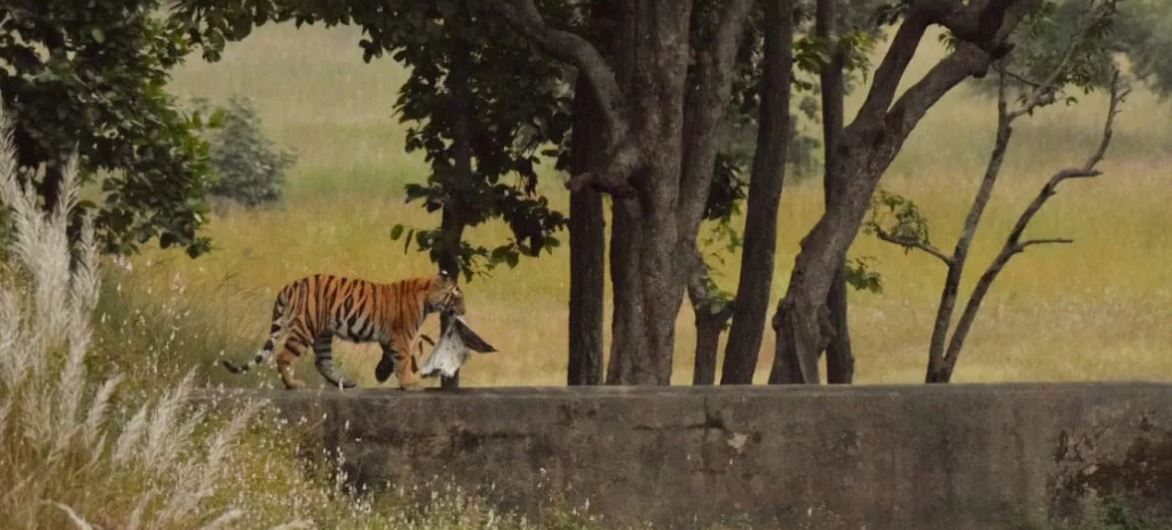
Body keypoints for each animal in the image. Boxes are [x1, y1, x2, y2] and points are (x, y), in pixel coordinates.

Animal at [220, 269, 461, 389]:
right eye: (457, 298)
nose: (464, 310)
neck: (426, 297)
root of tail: (291, 285)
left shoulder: (390, 337)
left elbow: (390, 357)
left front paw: (382, 373)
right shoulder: (402, 336)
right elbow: (402, 359)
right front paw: (410, 384)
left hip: (322, 334)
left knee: (322, 362)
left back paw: (345, 382)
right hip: (305, 328)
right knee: (283, 356)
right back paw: (292, 384)